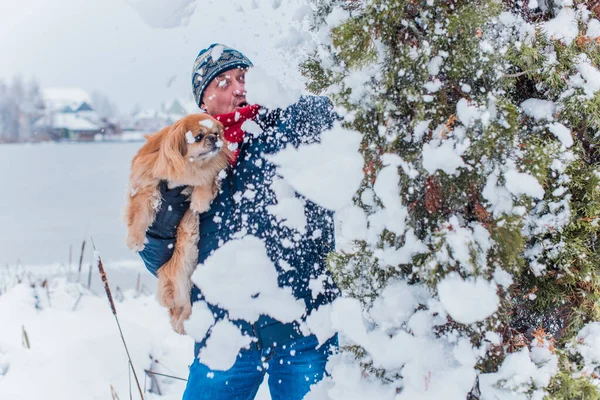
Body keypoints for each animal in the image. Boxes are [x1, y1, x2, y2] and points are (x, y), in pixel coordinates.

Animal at [124, 113, 232, 334]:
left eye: (216, 133)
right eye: (199, 136)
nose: (213, 138)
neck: (191, 167)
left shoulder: (208, 172)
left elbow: (205, 181)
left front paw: (200, 202)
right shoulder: (145, 185)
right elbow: (138, 215)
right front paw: (135, 241)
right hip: (179, 278)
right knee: (179, 309)